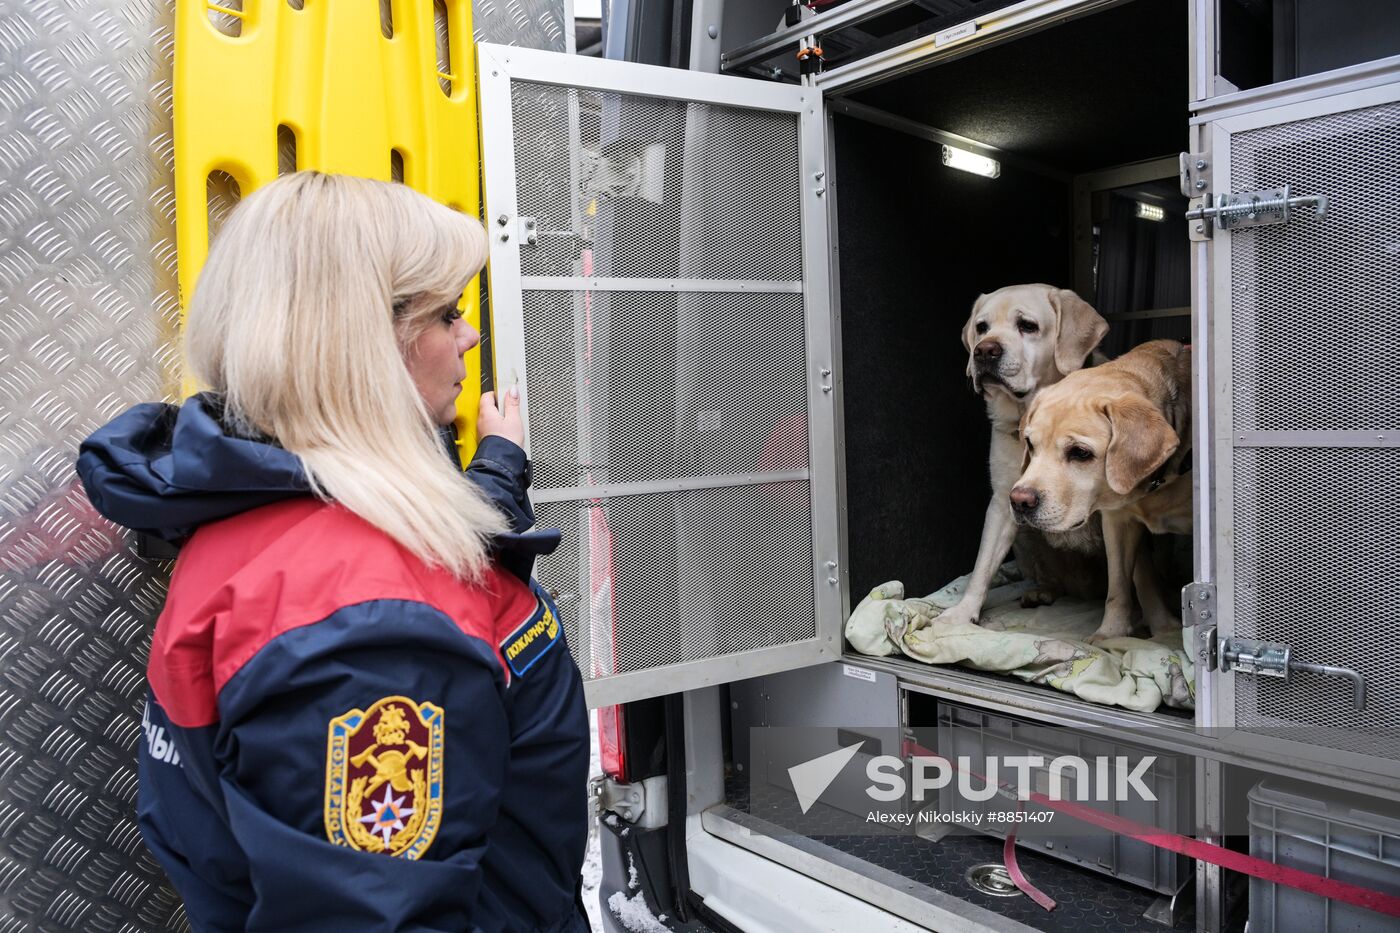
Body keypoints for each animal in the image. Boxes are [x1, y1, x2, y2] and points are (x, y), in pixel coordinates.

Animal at [935, 282, 1108, 627]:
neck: (1029, 415)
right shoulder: (1004, 501)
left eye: (1027, 326)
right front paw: (963, 612)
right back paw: (1042, 592)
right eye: (982, 327)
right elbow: (982, 566)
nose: (984, 350)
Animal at [1008, 340, 1192, 638]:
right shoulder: (1118, 522)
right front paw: (1112, 633)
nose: (1019, 501)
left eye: (1080, 453)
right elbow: (1124, 584)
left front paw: (1165, 630)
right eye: (1030, 444)